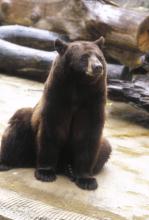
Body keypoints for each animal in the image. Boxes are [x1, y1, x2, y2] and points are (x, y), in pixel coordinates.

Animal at [0, 37, 111, 190]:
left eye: (100, 57)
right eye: (84, 57)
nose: (97, 67)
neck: (78, 86)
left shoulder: (92, 101)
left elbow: (88, 135)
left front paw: (87, 180)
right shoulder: (57, 96)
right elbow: (52, 130)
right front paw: (45, 173)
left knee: (106, 147)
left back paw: (70, 169)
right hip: (28, 131)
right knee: (18, 126)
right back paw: (5, 162)